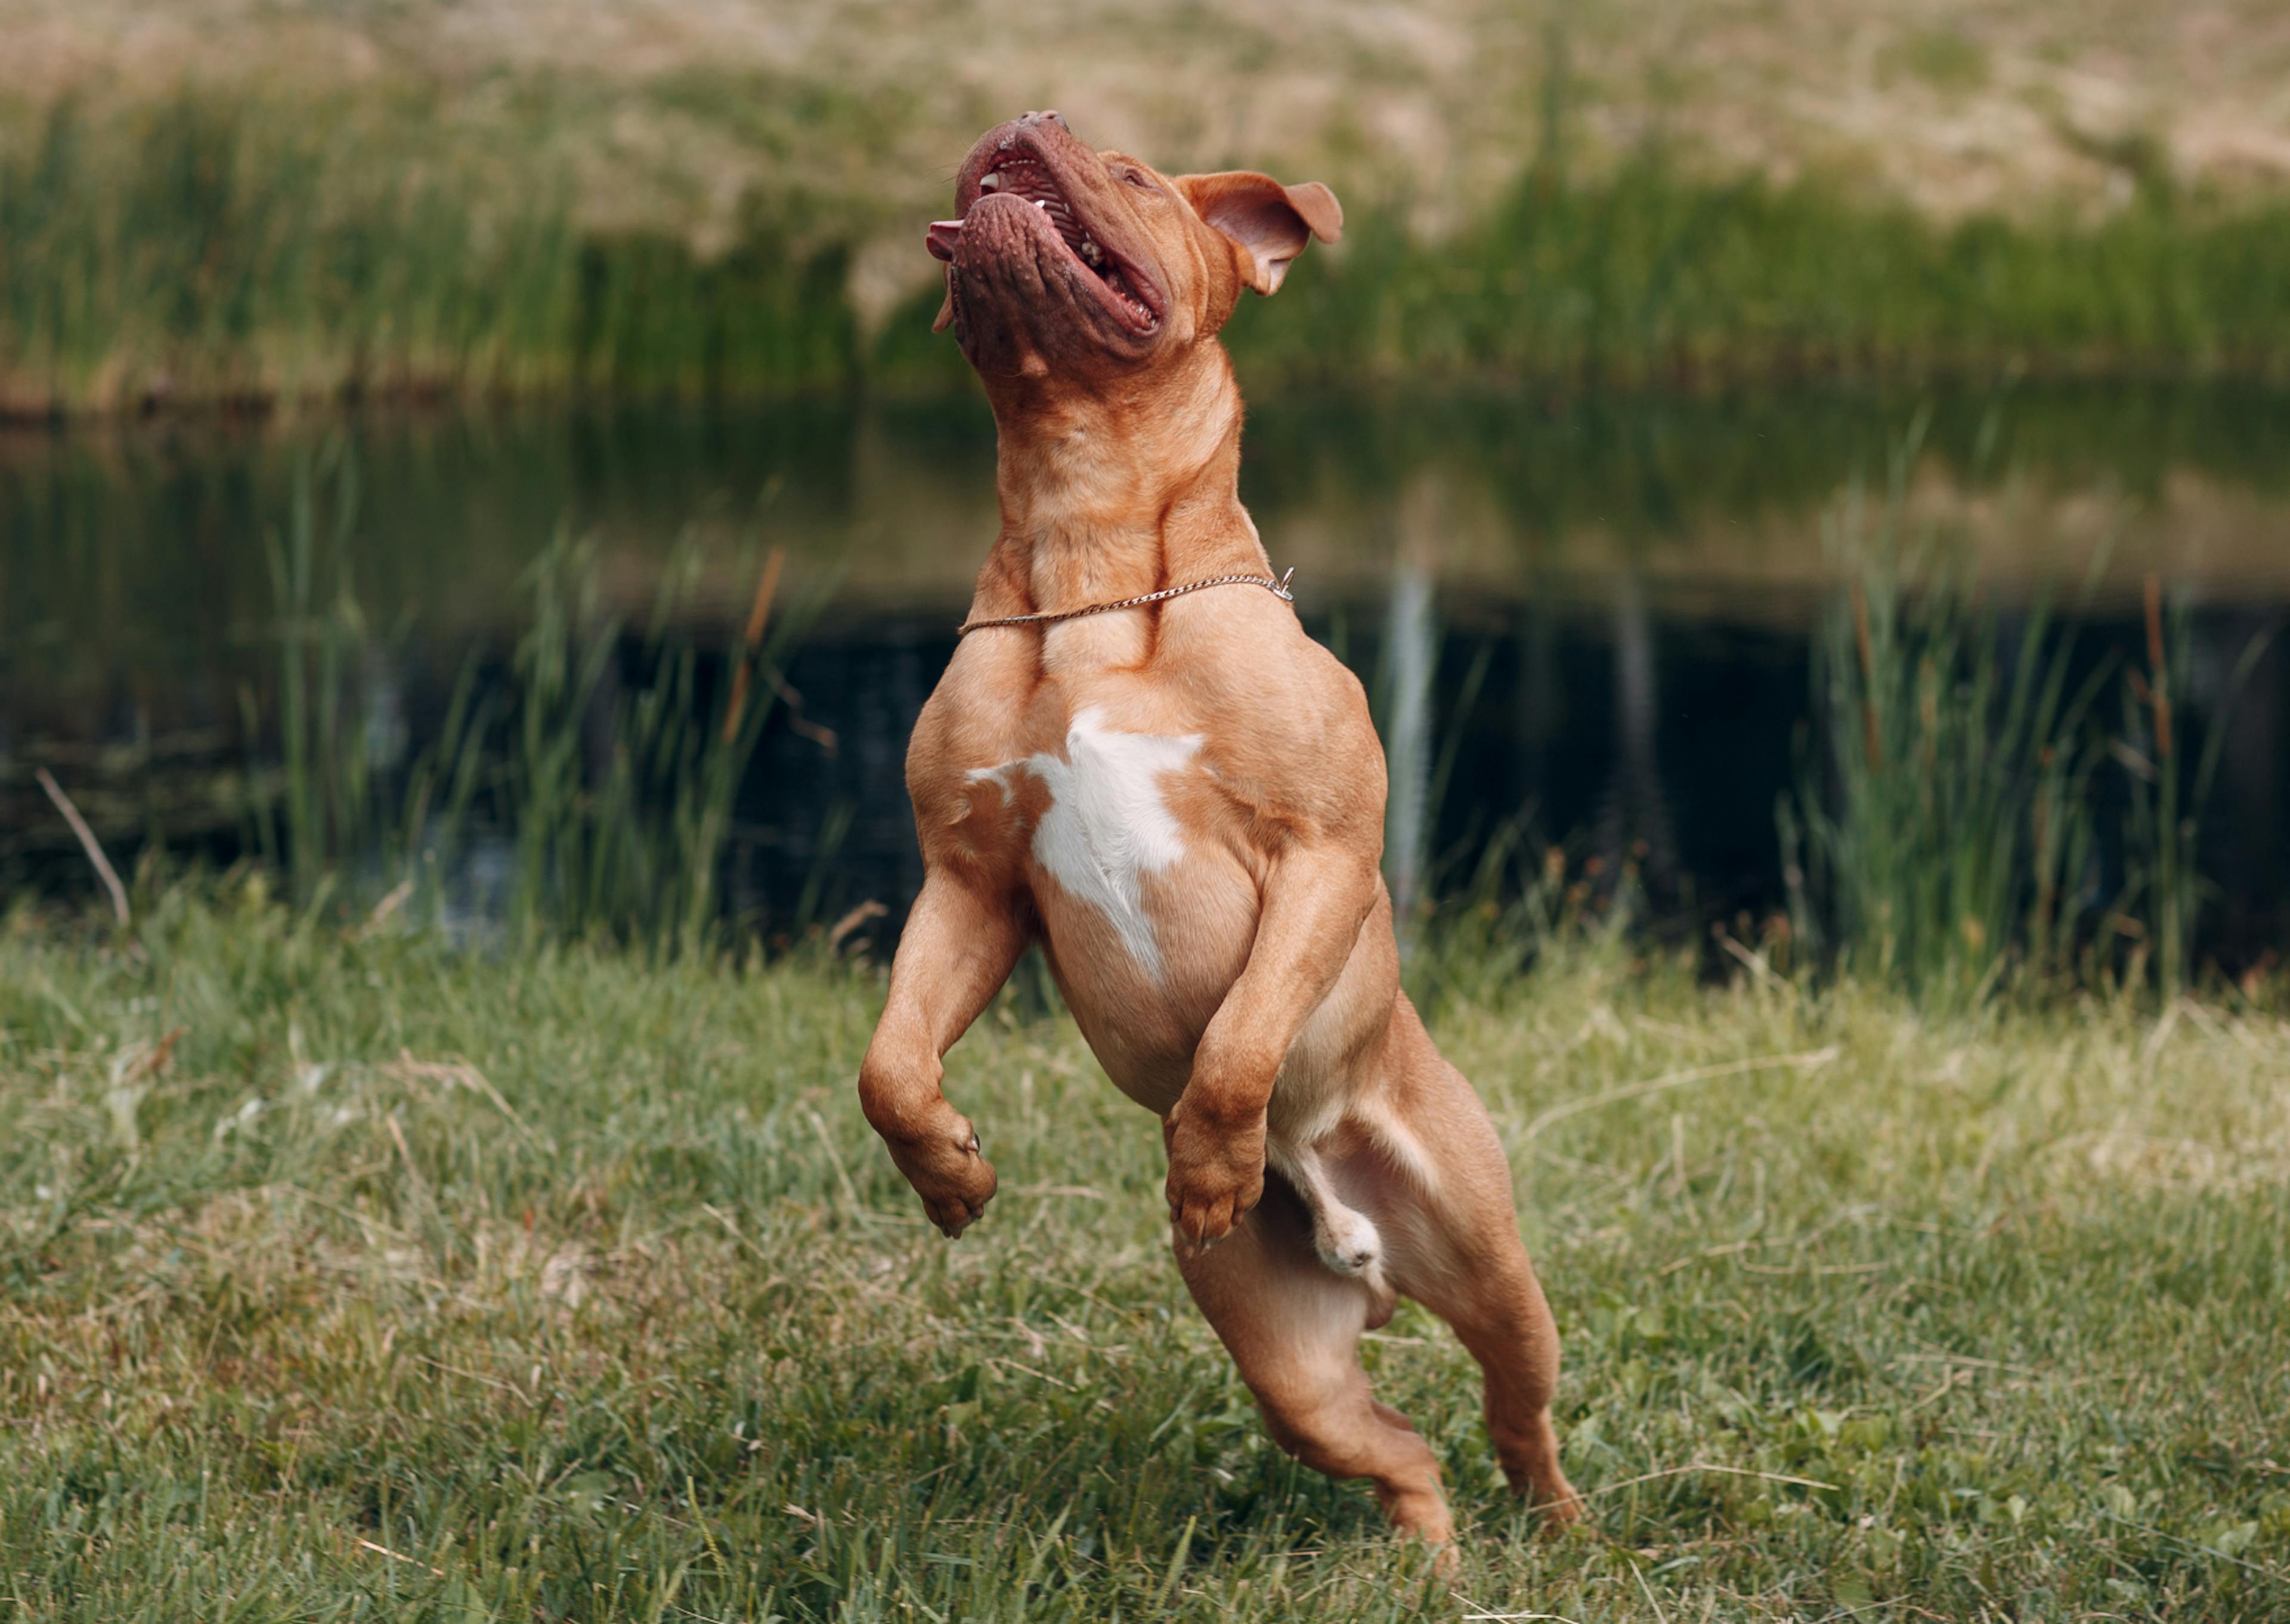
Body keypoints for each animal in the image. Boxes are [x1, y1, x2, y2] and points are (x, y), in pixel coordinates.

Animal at [861, 111, 1575, 1530]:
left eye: (1132, 175)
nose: (1018, 125)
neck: (1082, 547)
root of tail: (1345, 1222)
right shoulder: (967, 884)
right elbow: (891, 1064)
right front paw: (950, 1171)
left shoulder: (1320, 858)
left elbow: (1242, 1040)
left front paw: (1204, 1158)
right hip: (1286, 1357)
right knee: (1404, 1457)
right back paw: (1431, 1558)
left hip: (1491, 1265)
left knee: (1516, 1413)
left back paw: (1564, 1529)